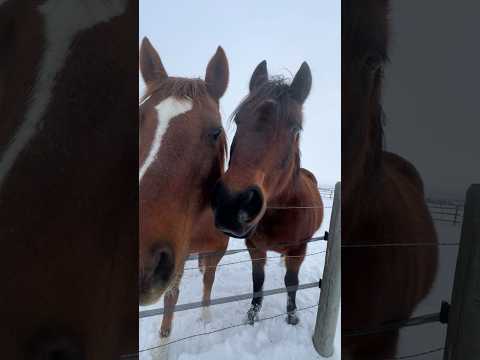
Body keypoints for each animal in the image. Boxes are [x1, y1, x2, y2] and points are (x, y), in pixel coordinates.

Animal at [138, 37, 230, 338]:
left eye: (216, 132)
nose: (142, 262)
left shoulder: (216, 251)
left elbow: (208, 282)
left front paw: (205, 317)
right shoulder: (177, 256)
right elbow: (171, 299)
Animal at [211, 61, 320, 326]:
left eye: (296, 128)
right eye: (239, 120)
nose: (232, 204)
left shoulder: (298, 251)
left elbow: (292, 283)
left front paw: (292, 316)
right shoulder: (255, 248)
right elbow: (257, 280)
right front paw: (253, 313)